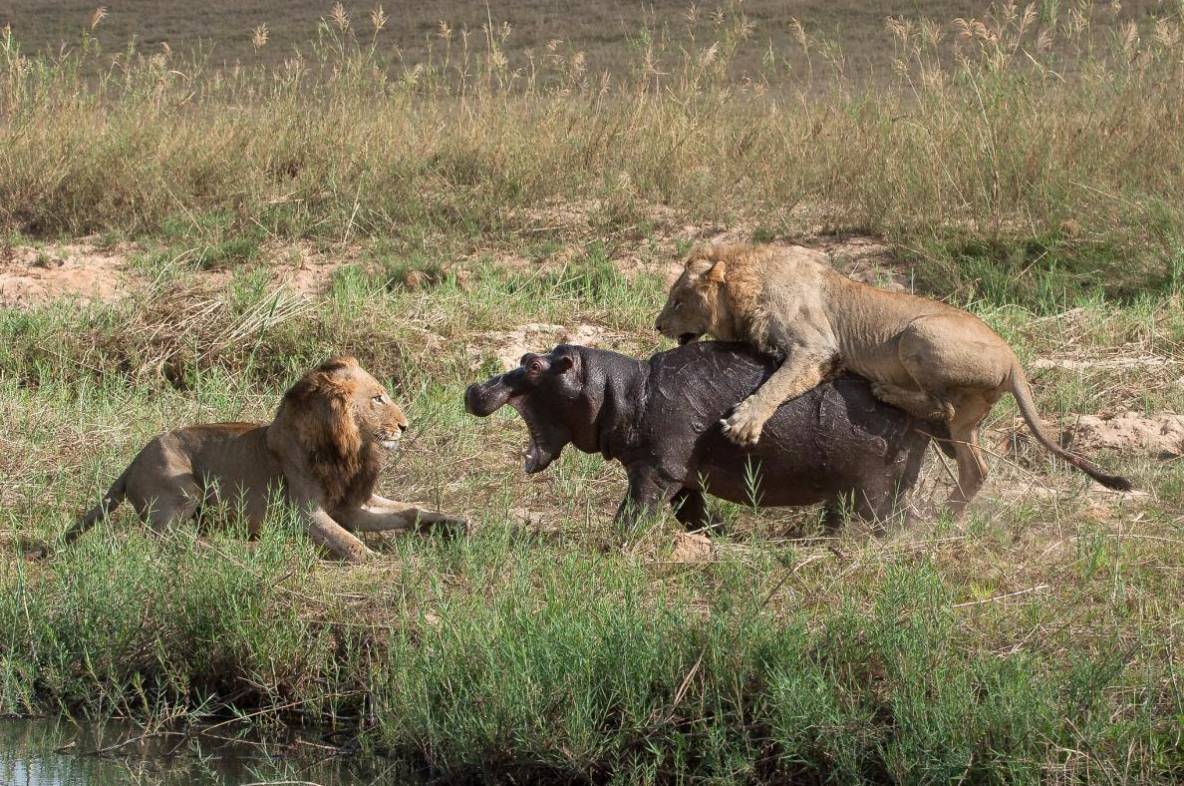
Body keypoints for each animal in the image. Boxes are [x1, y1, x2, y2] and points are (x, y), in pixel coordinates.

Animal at [67, 352, 466, 561]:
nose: (405, 426)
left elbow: (409, 509)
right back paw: (227, 547)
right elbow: (350, 543)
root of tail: (132, 463)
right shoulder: (304, 513)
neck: (348, 449)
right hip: (181, 485)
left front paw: (452, 522)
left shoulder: (350, 504)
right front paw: (379, 561)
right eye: (378, 398)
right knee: (164, 538)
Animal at [459, 343, 942, 530]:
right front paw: (718, 537)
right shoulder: (681, 475)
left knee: (880, 521)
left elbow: (633, 512)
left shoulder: (654, 470)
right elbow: (693, 514)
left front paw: (611, 545)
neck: (625, 391)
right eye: (528, 354)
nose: (475, 388)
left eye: (534, 366)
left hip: (872, 486)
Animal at [653, 246, 1131, 516]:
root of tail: (1013, 357)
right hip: (966, 420)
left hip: (919, 332)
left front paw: (744, 423)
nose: (657, 325)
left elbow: (776, 384)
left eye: (677, 299)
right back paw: (946, 518)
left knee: (940, 405)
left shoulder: (816, 348)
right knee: (975, 468)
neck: (746, 282)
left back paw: (886, 391)